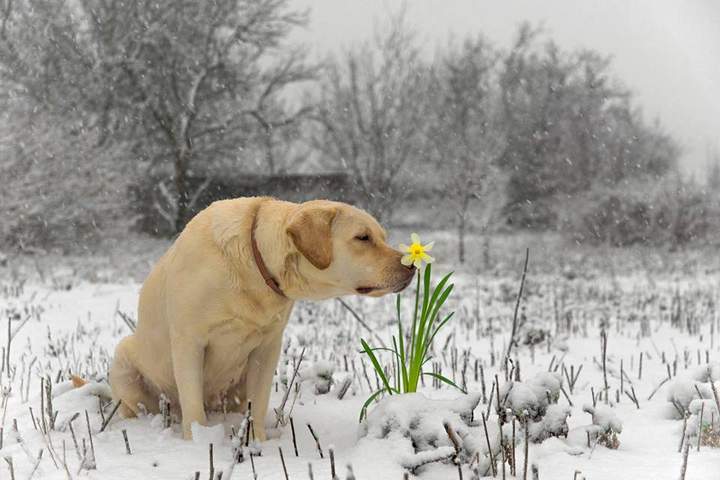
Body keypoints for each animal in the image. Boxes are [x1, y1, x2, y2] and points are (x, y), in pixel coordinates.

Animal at [109, 197, 414, 440]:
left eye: (381, 236)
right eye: (363, 237)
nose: (410, 266)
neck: (254, 266)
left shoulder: (267, 347)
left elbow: (258, 401)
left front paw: (257, 443)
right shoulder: (189, 342)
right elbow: (193, 406)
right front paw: (198, 442)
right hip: (124, 358)